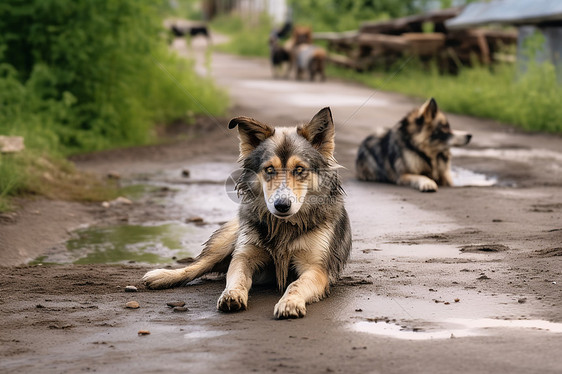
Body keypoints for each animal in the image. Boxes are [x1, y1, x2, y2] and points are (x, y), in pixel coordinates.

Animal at [141, 107, 350, 318]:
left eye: (299, 169)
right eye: (269, 169)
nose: (282, 205)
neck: (282, 225)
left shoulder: (316, 268)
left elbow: (296, 284)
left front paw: (289, 302)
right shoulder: (244, 255)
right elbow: (238, 277)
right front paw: (232, 295)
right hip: (227, 241)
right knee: (197, 265)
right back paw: (163, 276)